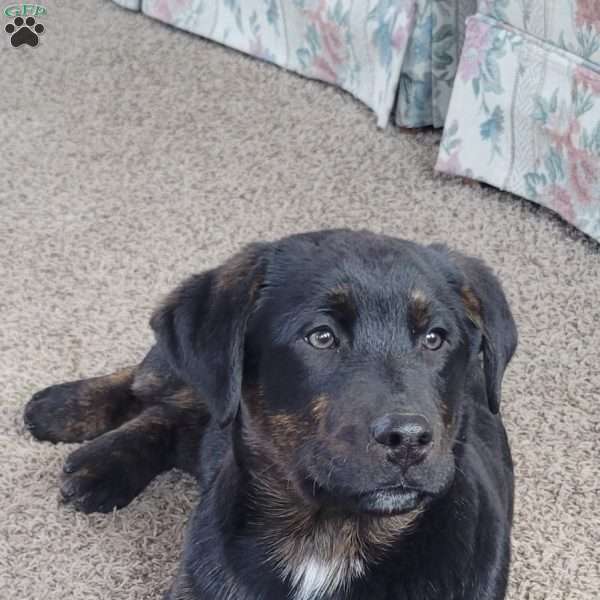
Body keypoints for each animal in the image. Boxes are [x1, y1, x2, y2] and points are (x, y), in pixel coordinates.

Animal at [24, 230, 516, 600]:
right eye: (321, 337)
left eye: (435, 338)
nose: (409, 439)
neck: (327, 540)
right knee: (153, 385)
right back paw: (66, 419)